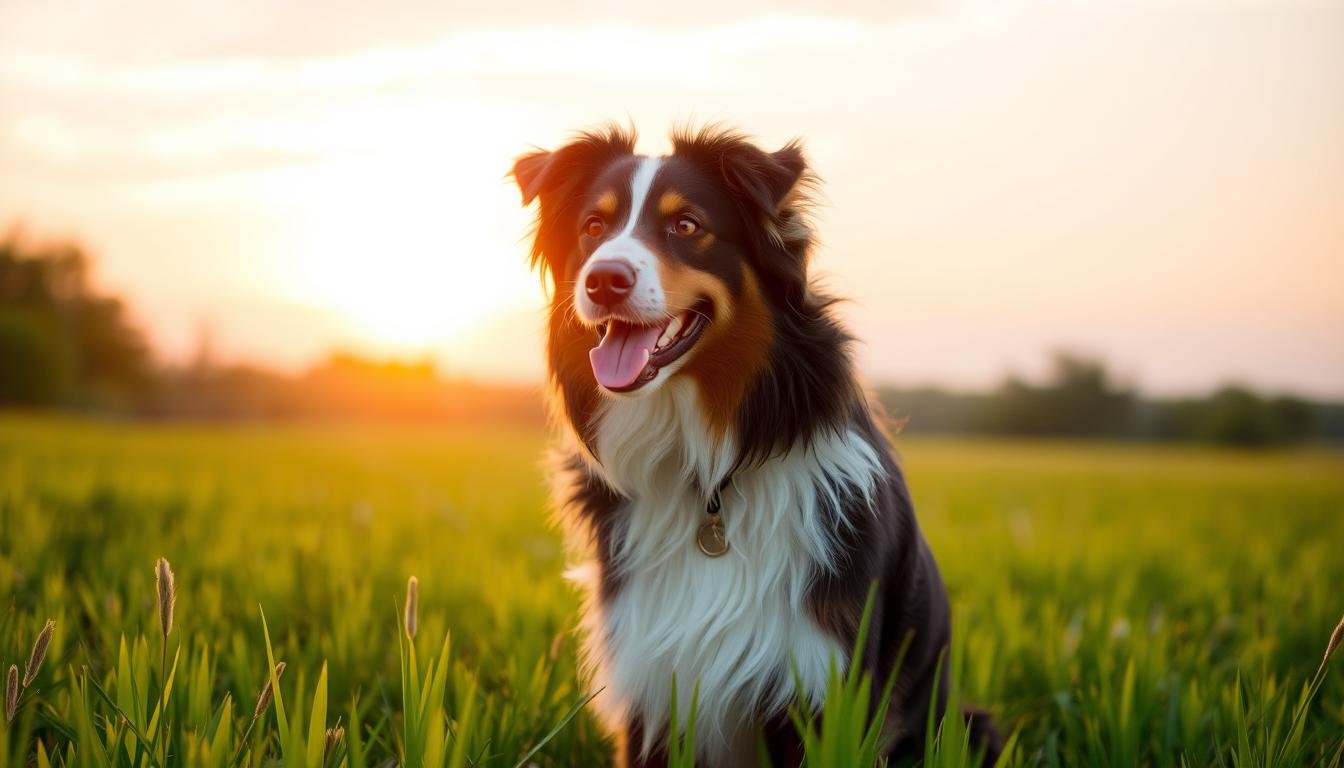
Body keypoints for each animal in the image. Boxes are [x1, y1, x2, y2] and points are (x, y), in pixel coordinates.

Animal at [510, 126, 999, 768]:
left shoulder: (823, 686)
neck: (709, 469)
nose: (603, 280)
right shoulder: (653, 686)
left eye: (687, 225)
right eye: (594, 225)